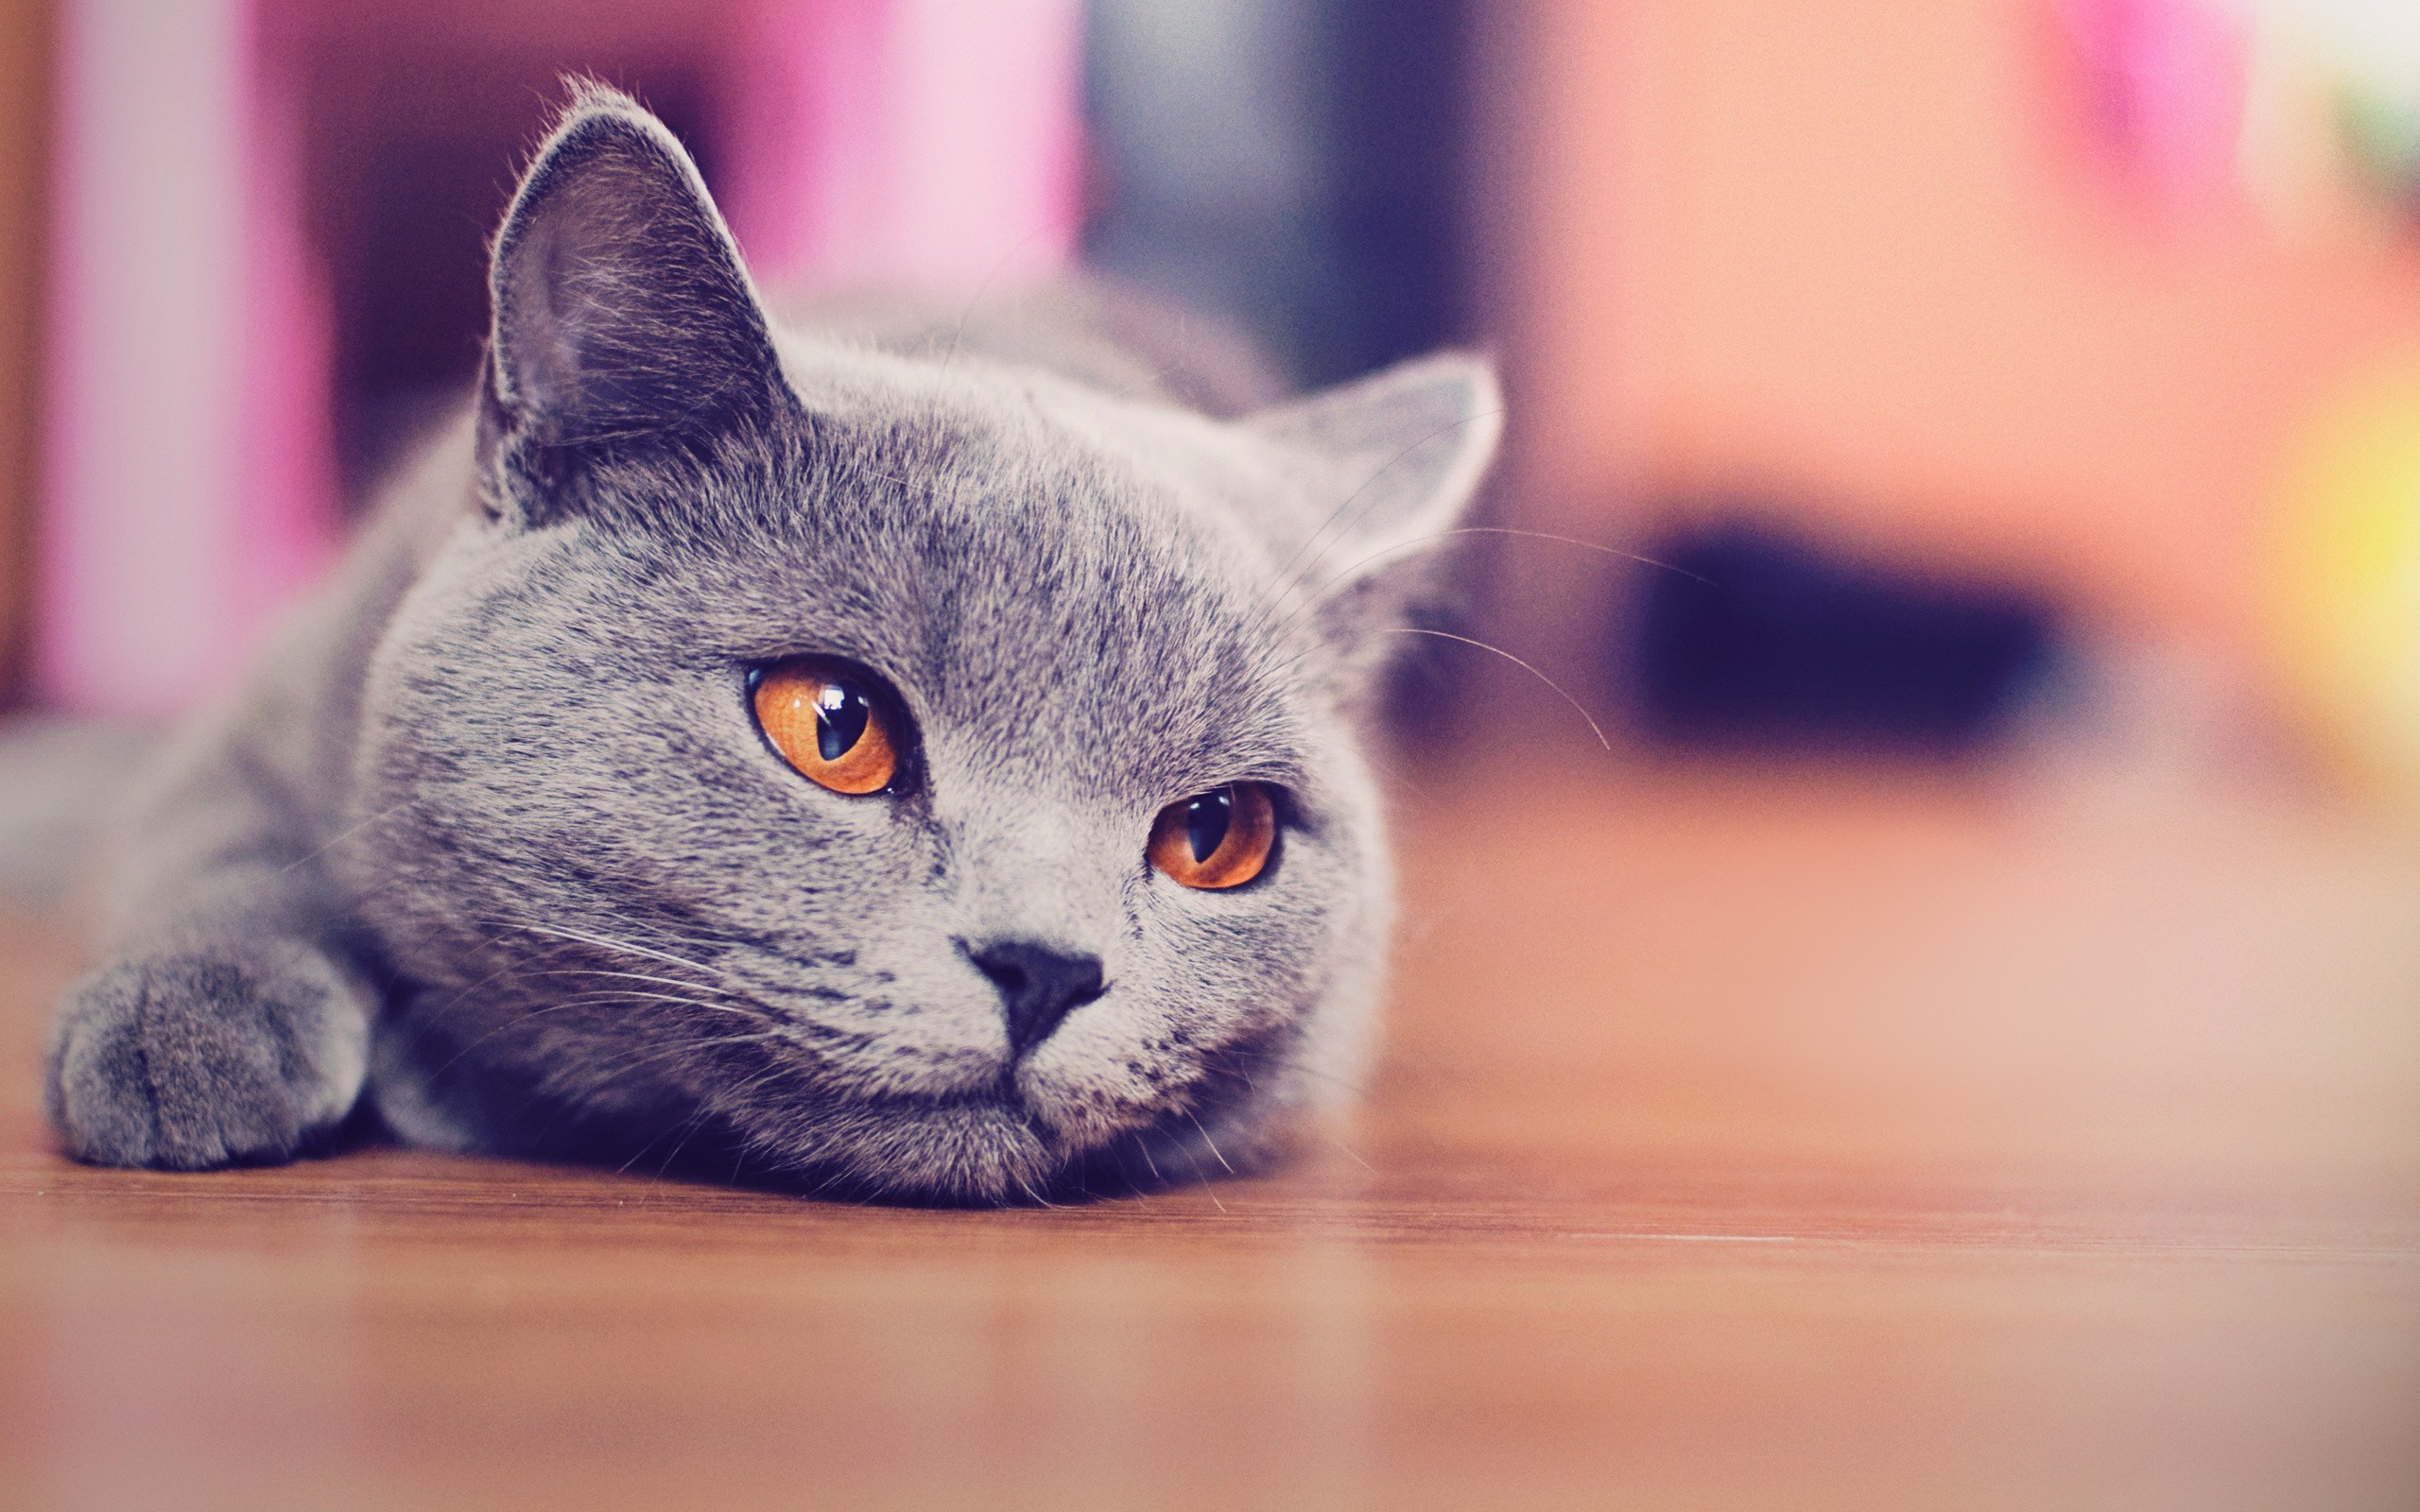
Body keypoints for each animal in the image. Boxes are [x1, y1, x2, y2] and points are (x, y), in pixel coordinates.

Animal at [43, 85, 1490, 1204]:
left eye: (1217, 835)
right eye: (832, 726)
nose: (1045, 967)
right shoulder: (272, 702)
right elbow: (222, 842)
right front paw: (188, 1022)